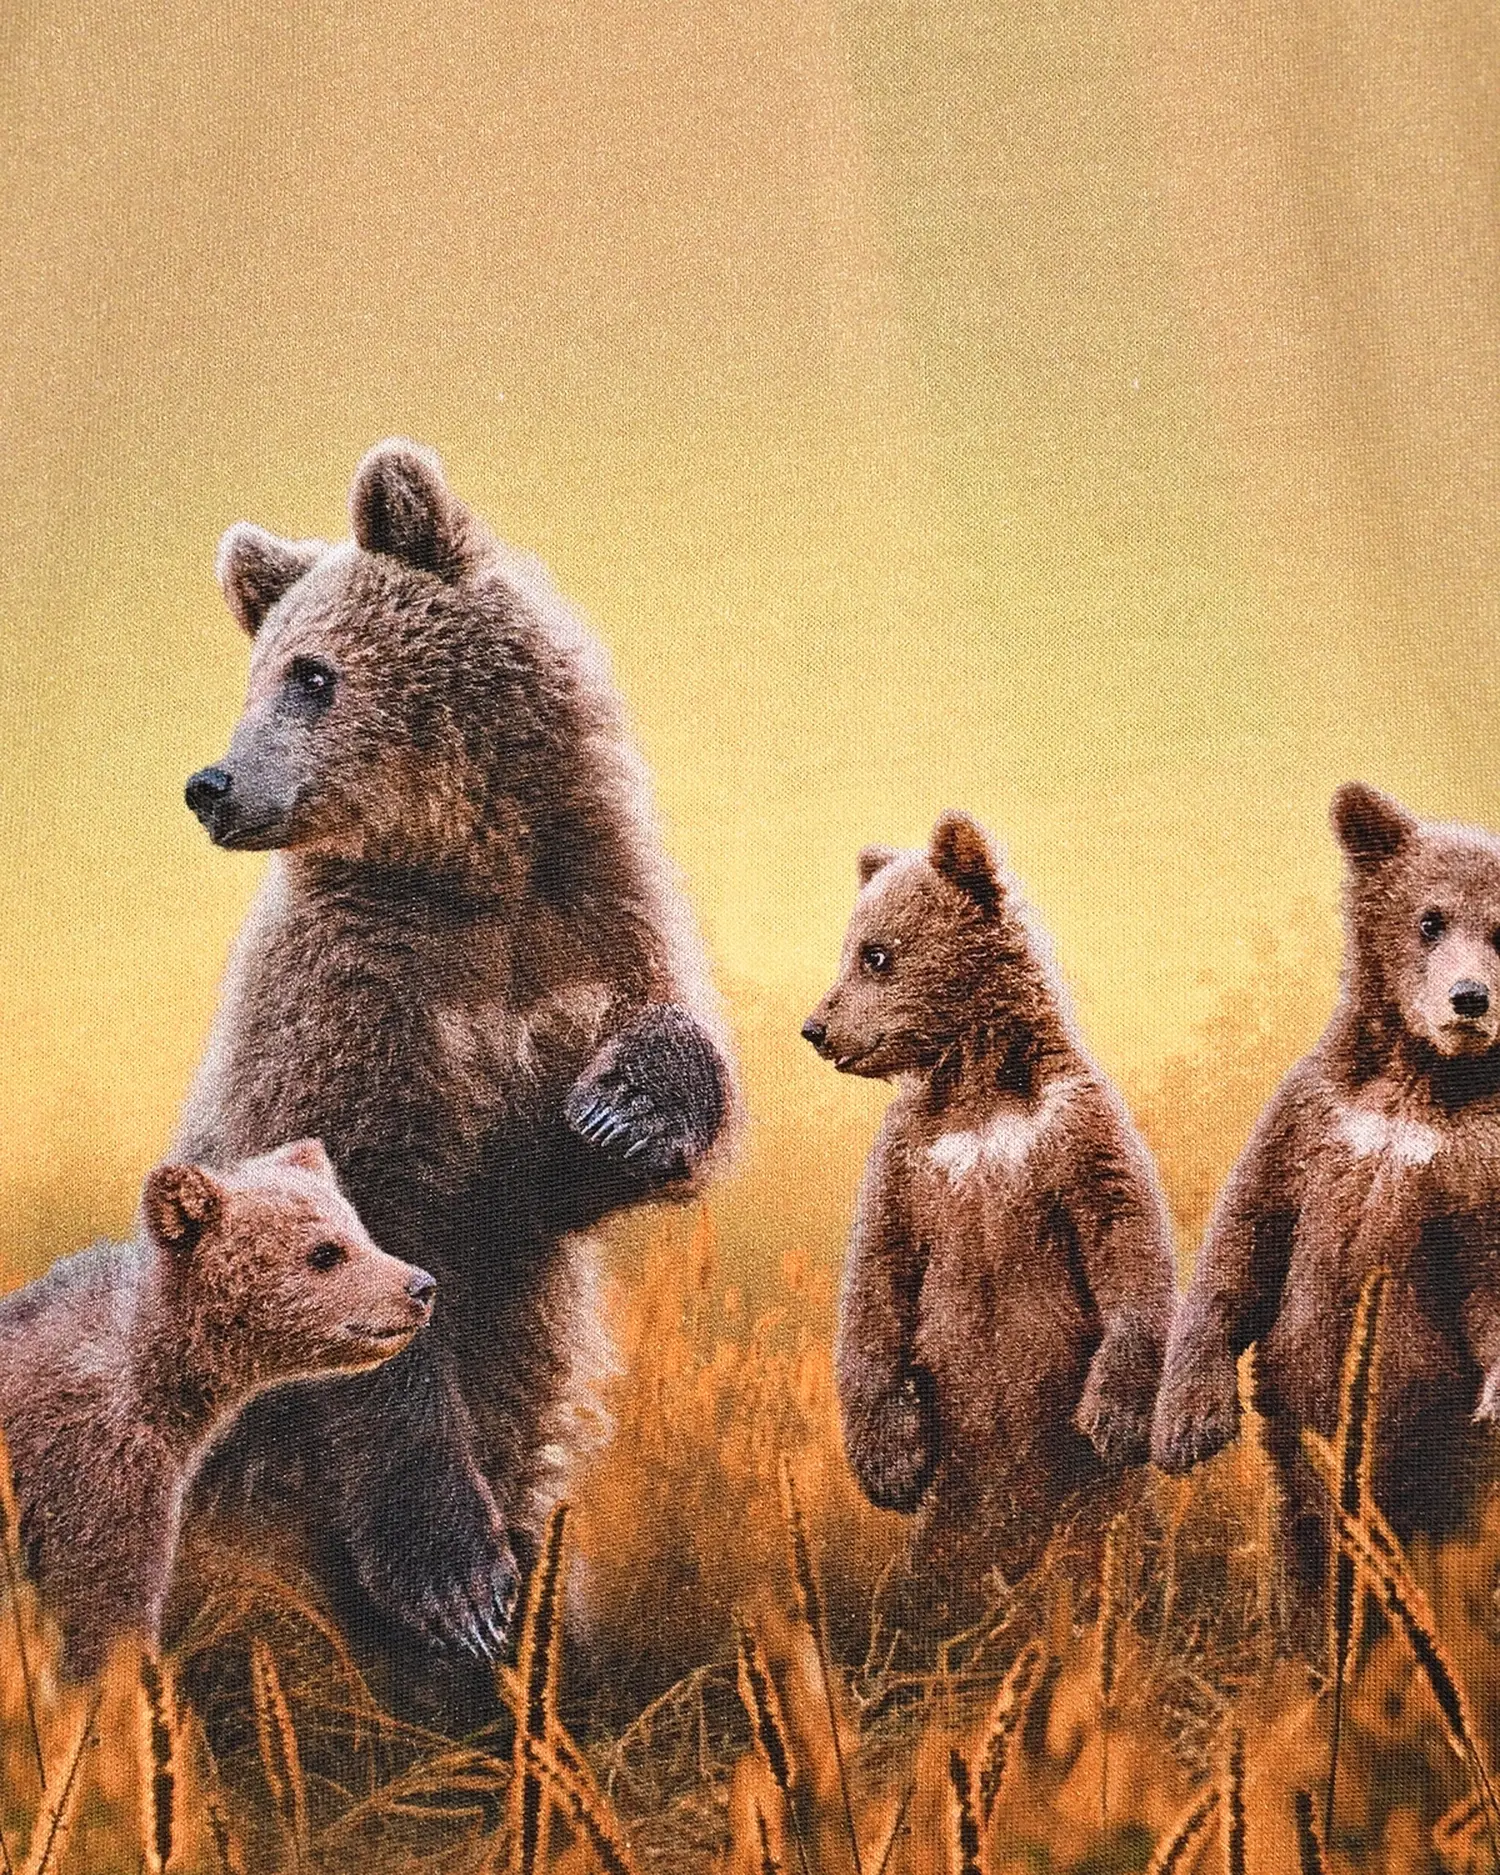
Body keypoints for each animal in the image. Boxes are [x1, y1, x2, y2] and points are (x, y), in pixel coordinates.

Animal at [175, 439, 735, 1720]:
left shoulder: (578, 927)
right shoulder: (351, 1009)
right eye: (261, 673)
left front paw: (626, 1111)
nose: (213, 785)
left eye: (313, 674)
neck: (465, 874)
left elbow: (580, 1139)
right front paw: (456, 1584)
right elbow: (372, 1298)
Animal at [802, 810, 1176, 1610]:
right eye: (849, 948)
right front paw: (888, 1462)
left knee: (1122, 1558)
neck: (979, 1094)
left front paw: (1111, 1412)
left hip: (1098, 1503)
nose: (815, 1028)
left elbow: (1125, 1235)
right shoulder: (911, 1161)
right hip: (945, 1518)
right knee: (913, 1593)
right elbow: (876, 1279)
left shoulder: (1071, 1131)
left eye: (876, 954)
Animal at [1152, 782, 1500, 1612]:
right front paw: (1188, 1422)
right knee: (1304, 1553)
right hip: (1300, 1463)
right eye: (1430, 917)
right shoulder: (1315, 1119)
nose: (1470, 998)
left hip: (1445, 1472)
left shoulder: (1474, 1169)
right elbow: (1245, 1237)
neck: (1419, 1082)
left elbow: (1485, 1281)